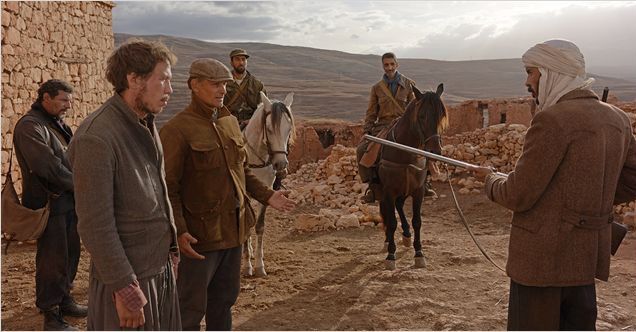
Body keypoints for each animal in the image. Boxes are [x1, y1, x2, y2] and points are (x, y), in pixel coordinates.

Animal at [241, 91, 296, 278]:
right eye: (270, 129)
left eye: (289, 129)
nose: (280, 164)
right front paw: (247, 266)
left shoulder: (266, 193)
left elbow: (259, 226)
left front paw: (259, 265)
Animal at [378, 83, 448, 270]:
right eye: (422, 116)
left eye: (442, 116)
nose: (435, 151)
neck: (405, 152)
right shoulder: (388, 191)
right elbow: (391, 221)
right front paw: (391, 255)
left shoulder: (418, 191)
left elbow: (417, 221)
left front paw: (419, 253)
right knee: (387, 213)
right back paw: (388, 241)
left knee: (400, 206)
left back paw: (407, 235)